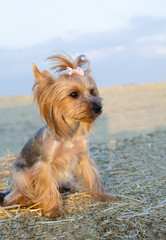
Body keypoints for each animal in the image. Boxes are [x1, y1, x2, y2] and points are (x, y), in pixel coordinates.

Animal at [0, 53, 115, 218]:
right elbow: (47, 187)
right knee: (17, 193)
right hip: (22, 173)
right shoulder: (44, 164)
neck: (70, 132)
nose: (98, 107)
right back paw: (24, 199)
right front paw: (53, 209)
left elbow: (93, 177)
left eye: (92, 91)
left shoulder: (84, 157)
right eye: (74, 94)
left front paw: (102, 195)